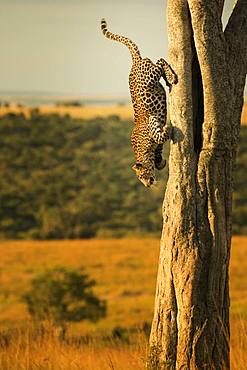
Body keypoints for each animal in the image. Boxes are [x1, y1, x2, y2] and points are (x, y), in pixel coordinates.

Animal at [101, 18, 178, 186]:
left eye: (142, 176)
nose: (147, 185)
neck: (142, 152)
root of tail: (135, 62)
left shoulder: (152, 125)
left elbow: (161, 135)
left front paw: (168, 126)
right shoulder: (156, 146)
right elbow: (159, 149)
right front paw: (161, 163)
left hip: (150, 76)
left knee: (159, 61)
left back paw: (171, 77)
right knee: (158, 62)